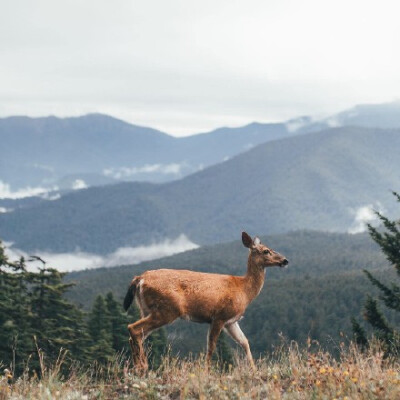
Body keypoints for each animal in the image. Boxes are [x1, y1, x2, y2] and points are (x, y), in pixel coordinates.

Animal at [122, 231, 288, 372]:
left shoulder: (231, 321)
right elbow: (211, 346)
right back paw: (143, 367)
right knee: (133, 328)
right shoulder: (219, 316)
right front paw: (207, 371)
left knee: (136, 335)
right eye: (266, 250)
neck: (243, 290)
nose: (285, 260)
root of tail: (139, 279)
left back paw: (138, 367)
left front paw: (254, 370)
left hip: (146, 310)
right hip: (167, 310)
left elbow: (245, 342)